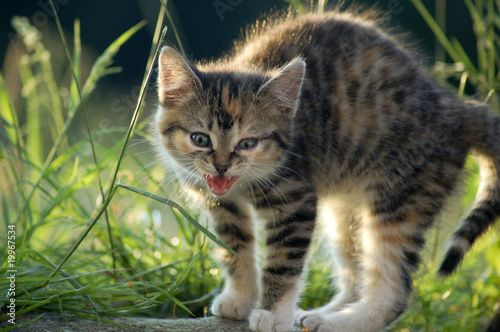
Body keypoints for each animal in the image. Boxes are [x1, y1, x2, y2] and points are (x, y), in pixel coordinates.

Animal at [152, 9, 500, 332]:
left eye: (248, 143)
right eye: (200, 139)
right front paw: (240, 298)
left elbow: (283, 261)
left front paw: (273, 315)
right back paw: (325, 312)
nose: (221, 166)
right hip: (347, 207)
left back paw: (340, 322)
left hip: (401, 197)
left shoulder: (295, 199)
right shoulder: (221, 204)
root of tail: (455, 110)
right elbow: (234, 248)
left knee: (392, 289)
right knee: (356, 267)